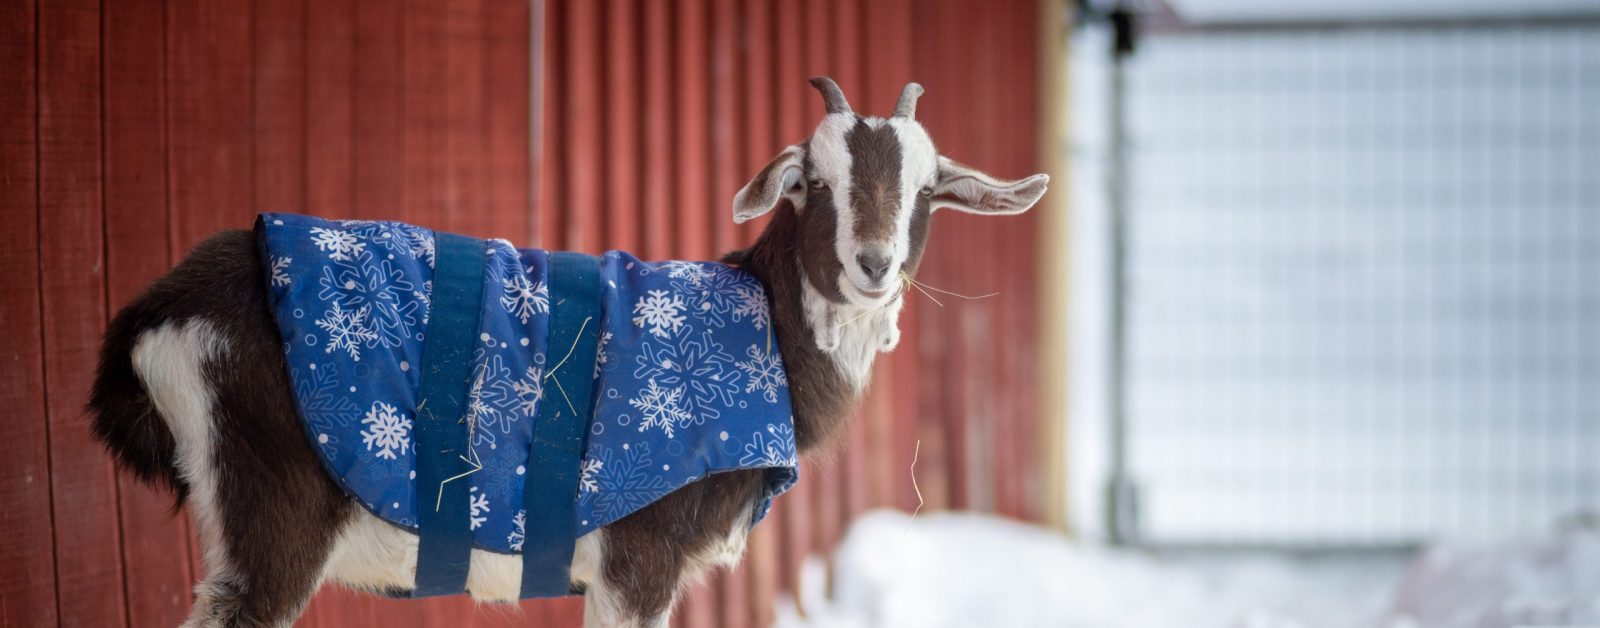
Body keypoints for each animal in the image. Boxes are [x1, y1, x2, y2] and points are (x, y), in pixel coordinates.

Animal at [93, 79, 1056, 628]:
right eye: (813, 182)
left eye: (927, 192)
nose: (873, 265)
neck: (764, 341)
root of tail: (157, 314)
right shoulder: (640, 549)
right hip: (272, 507)